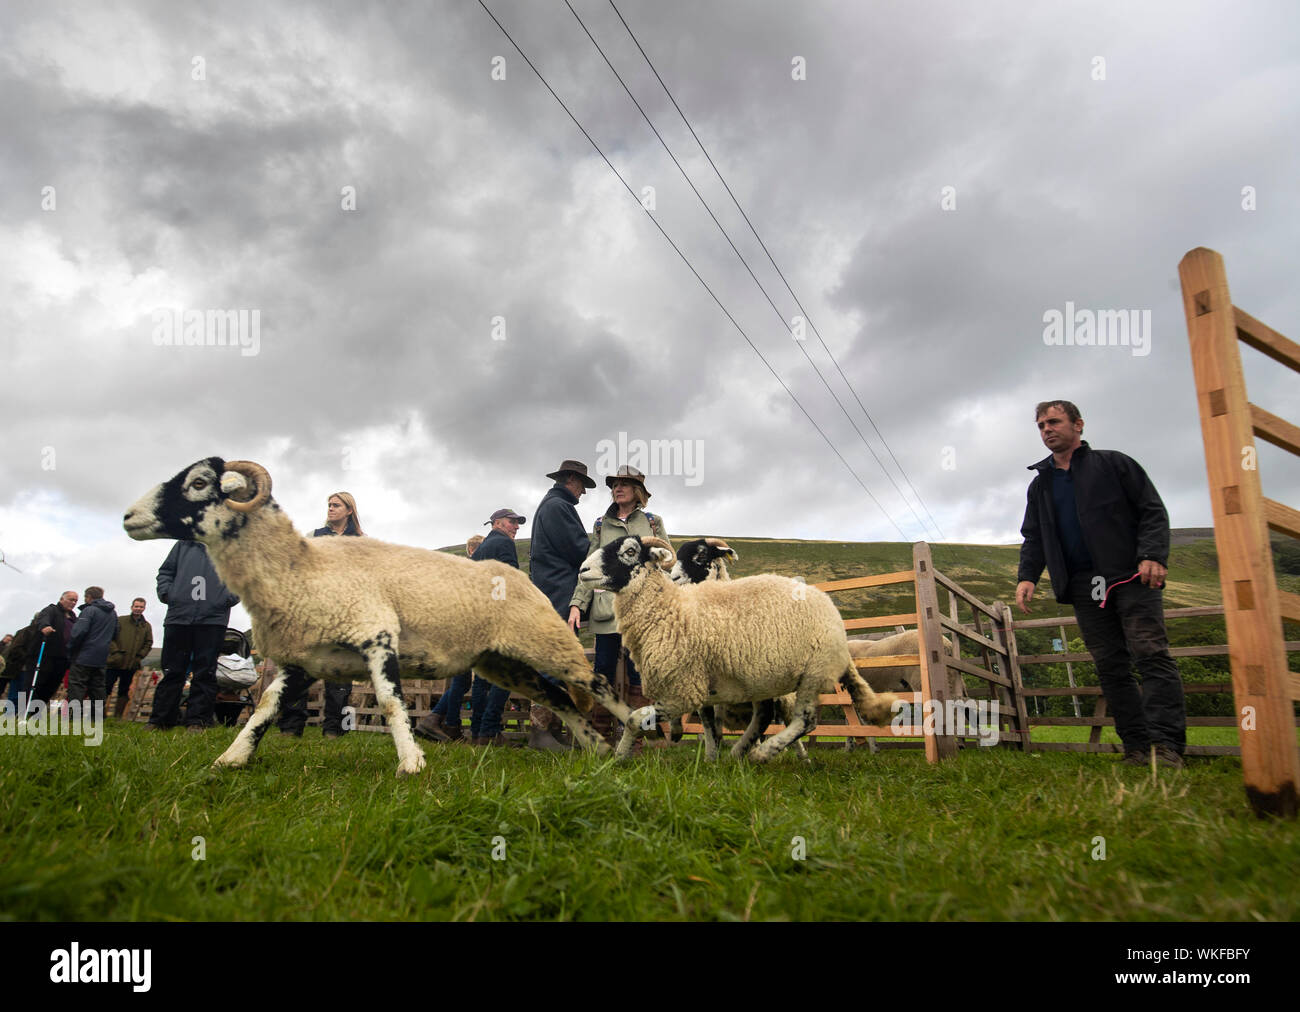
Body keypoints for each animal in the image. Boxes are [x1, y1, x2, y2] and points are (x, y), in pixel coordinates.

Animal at [124, 457, 631, 775]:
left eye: (198, 484)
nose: (128, 516)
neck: (303, 568)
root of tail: (522, 580)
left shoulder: (377, 635)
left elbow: (390, 703)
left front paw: (411, 764)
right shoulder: (306, 659)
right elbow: (266, 706)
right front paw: (231, 758)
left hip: (544, 639)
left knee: (597, 684)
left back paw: (633, 730)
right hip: (501, 661)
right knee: (560, 699)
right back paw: (599, 748)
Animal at [574, 535, 899, 759]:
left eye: (629, 551)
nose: (583, 568)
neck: (671, 607)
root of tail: (832, 612)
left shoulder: (686, 690)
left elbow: (634, 718)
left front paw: (619, 756)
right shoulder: (700, 688)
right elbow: (707, 726)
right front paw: (706, 756)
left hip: (812, 672)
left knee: (804, 722)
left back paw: (763, 753)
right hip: (769, 678)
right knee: (767, 717)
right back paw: (741, 752)